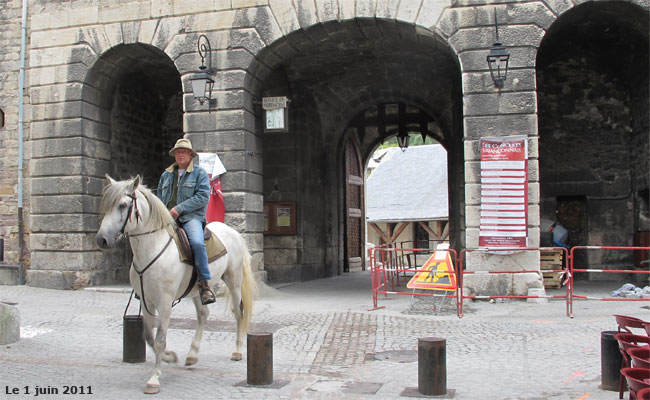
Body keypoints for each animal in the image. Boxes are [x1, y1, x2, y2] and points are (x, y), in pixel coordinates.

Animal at [94, 176, 256, 394]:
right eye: (107, 205)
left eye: (123, 205)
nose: (101, 239)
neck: (152, 248)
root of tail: (233, 232)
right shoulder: (146, 301)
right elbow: (149, 337)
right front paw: (170, 358)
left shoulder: (164, 303)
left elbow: (160, 340)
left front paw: (154, 379)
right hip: (198, 290)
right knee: (203, 315)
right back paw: (192, 355)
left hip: (234, 280)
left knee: (238, 313)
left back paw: (237, 351)